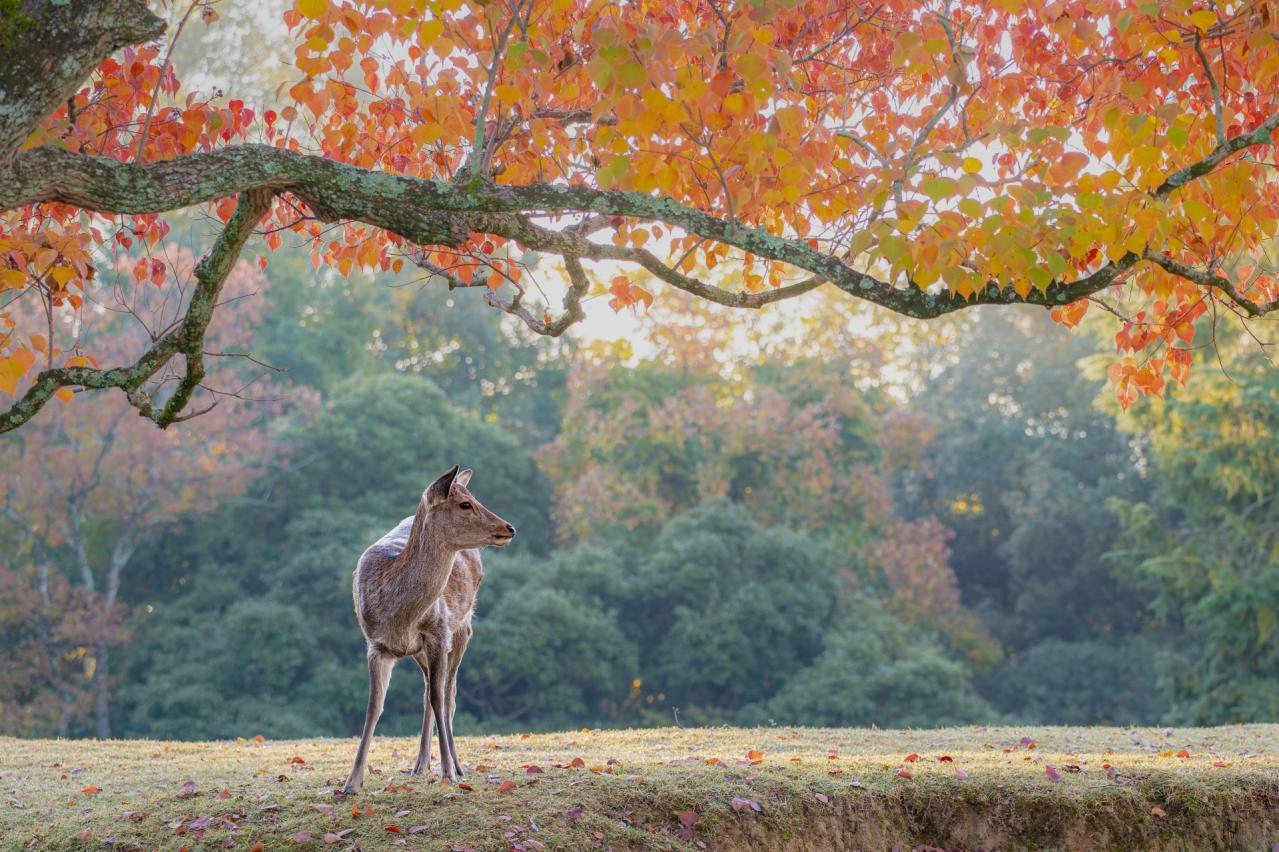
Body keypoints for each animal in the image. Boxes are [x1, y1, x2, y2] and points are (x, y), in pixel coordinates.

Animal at [345, 460, 519, 793]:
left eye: (474, 498)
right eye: (465, 503)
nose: (509, 527)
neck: (400, 616)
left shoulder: (440, 633)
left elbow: (441, 699)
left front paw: (449, 773)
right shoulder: (375, 644)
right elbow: (374, 706)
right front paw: (352, 783)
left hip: (463, 629)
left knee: (448, 693)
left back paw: (456, 765)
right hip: (420, 651)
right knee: (428, 689)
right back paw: (420, 764)